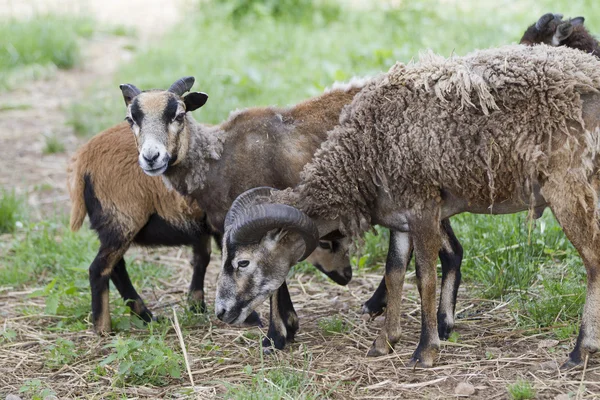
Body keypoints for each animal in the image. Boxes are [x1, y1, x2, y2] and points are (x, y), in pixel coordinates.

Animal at [70, 119, 352, 334]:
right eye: (324, 243)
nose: (347, 276)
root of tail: (84, 160)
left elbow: (204, 260)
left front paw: (198, 306)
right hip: (123, 220)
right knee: (99, 269)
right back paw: (104, 328)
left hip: (115, 225)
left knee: (116, 268)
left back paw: (146, 317)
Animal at [217, 44, 600, 368]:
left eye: (242, 262)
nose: (221, 312)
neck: (362, 152)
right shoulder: (399, 220)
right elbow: (394, 273)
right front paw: (385, 342)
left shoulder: (423, 209)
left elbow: (425, 277)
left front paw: (425, 351)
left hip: (568, 187)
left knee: (594, 261)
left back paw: (579, 352)